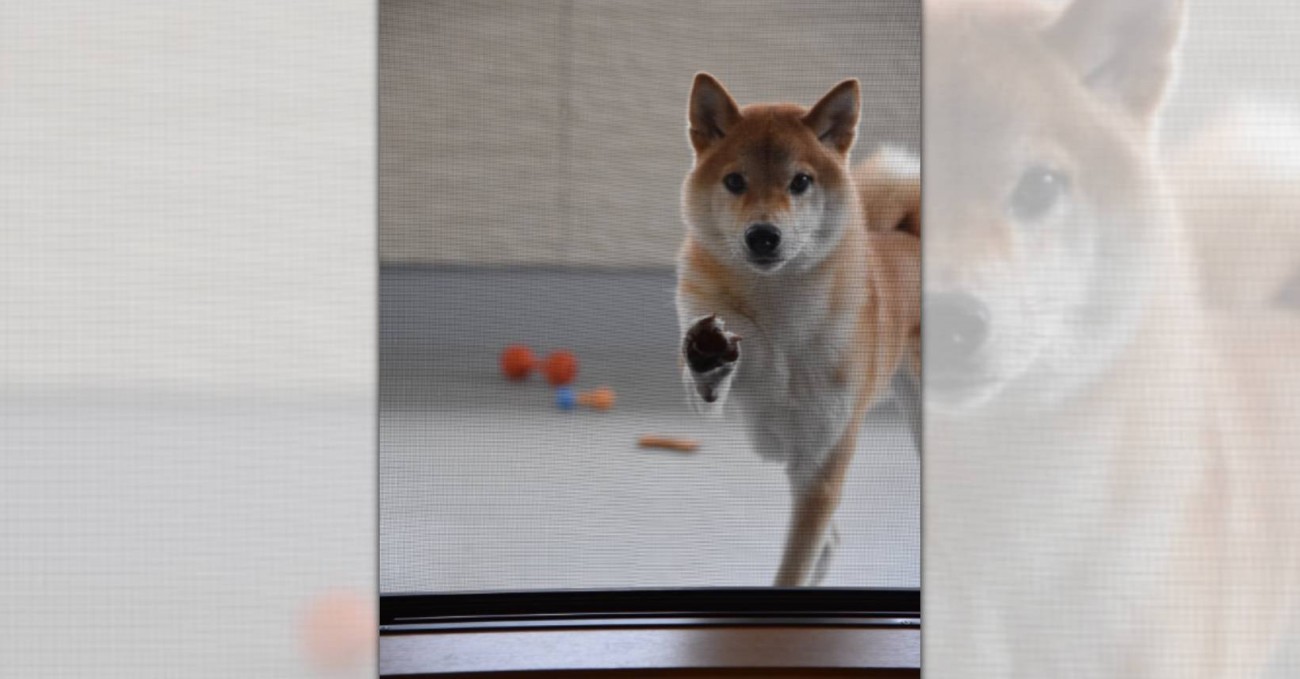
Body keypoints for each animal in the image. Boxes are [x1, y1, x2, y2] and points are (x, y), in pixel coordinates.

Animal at [676, 71, 920, 582]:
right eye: (734, 181)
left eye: (801, 181)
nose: (763, 235)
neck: (776, 310)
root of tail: (907, 234)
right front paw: (709, 356)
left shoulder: (821, 463)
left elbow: (794, 567)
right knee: (830, 543)